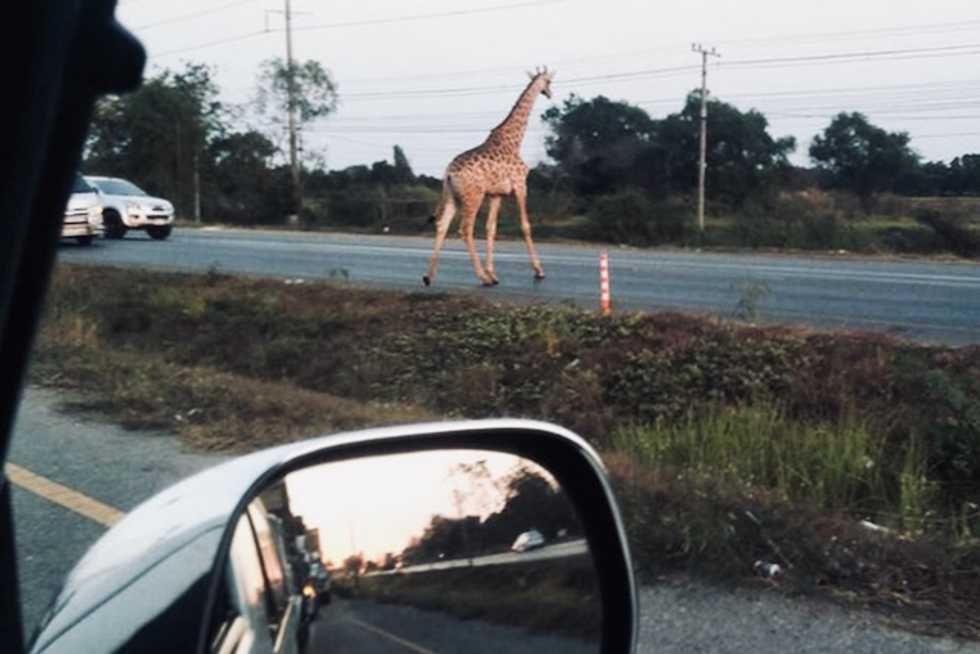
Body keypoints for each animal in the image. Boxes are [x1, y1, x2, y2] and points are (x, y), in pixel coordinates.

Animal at [423, 67, 554, 287]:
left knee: (442, 225)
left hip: (452, 196)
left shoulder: (496, 194)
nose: (550, 93)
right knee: (465, 229)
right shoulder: (520, 185)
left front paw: (492, 272)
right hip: (473, 197)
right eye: (549, 81)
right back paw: (482, 277)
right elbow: (525, 225)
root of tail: (449, 173)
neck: (514, 140)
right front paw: (539, 271)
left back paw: (428, 276)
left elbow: (491, 228)